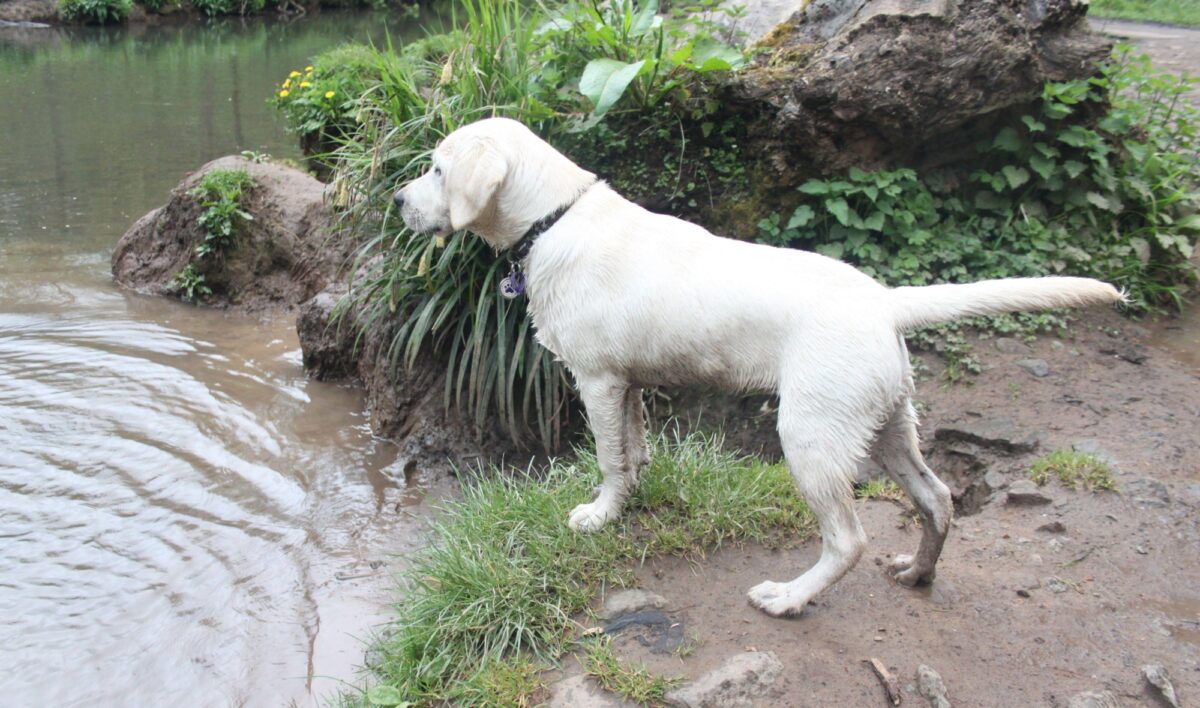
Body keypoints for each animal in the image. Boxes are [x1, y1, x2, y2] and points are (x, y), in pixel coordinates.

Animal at [396, 116, 1123, 614]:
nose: (399, 202)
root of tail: (885, 301)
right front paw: (630, 499)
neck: (554, 220)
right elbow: (633, 452)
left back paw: (790, 596)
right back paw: (919, 573)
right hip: (888, 424)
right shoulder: (627, 384)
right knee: (938, 499)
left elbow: (607, 460)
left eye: (436, 170)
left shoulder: (597, 379)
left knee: (847, 540)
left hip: (811, 434)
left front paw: (599, 517)